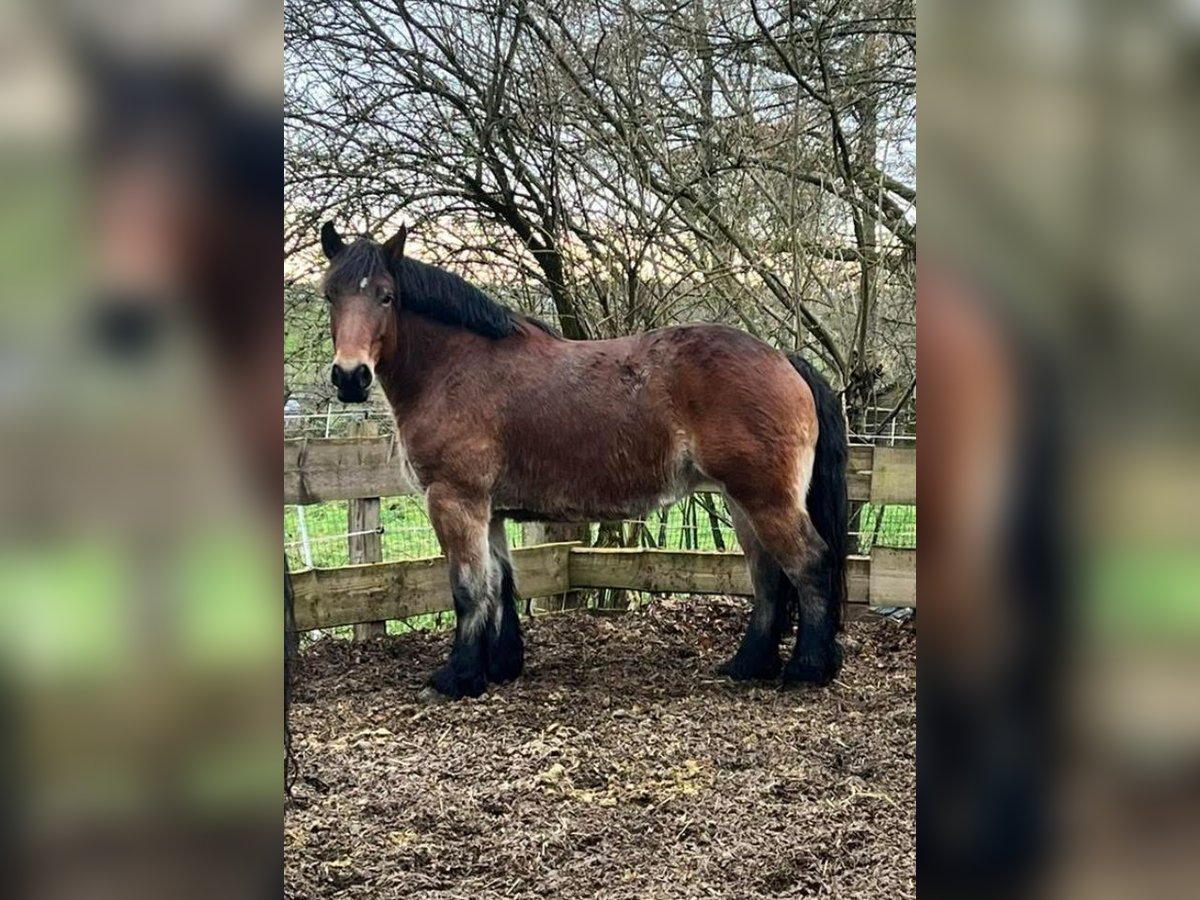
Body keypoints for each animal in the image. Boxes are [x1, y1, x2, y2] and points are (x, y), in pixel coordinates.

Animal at [314, 224, 849, 696]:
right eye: (329, 295)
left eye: (385, 296)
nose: (349, 377)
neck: (454, 367)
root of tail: (783, 359)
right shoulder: (488, 511)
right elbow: (500, 584)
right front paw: (501, 665)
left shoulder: (454, 501)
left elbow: (468, 589)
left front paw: (459, 677)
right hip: (742, 501)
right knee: (767, 576)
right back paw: (749, 663)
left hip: (766, 500)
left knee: (809, 564)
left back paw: (807, 669)